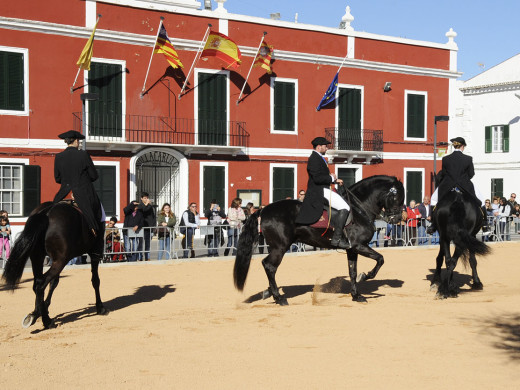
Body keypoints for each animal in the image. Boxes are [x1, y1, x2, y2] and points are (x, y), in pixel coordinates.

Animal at [1, 201, 107, 330]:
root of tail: (46, 213)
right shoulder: (94, 254)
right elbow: (95, 280)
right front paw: (100, 307)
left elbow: (54, 283)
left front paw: (42, 309)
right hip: (60, 261)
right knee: (41, 284)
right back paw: (46, 321)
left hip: (38, 258)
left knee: (37, 283)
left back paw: (37, 314)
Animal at [234, 174, 404, 304]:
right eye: (396, 196)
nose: (397, 219)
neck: (358, 209)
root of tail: (263, 210)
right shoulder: (359, 246)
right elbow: (380, 259)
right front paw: (366, 276)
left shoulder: (352, 250)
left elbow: (352, 272)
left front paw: (356, 295)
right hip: (280, 247)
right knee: (269, 266)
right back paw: (278, 297)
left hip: (275, 247)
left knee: (269, 266)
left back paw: (269, 292)